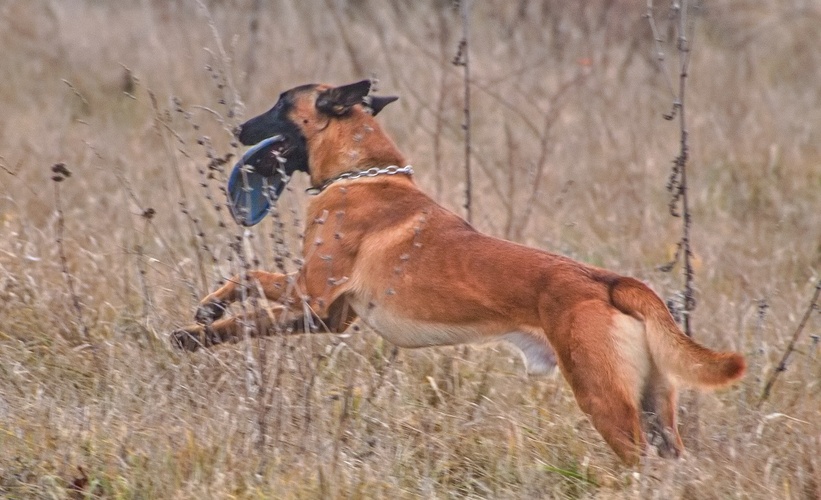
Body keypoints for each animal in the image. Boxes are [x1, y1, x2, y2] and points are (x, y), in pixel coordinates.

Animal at [171, 80, 744, 462]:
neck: (364, 174)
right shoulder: (325, 317)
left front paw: (207, 309)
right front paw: (198, 335)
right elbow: (248, 323)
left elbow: (247, 278)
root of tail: (610, 282)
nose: (239, 128)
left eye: (280, 104)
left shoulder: (308, 293)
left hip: (605, 403)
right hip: (652, 407)